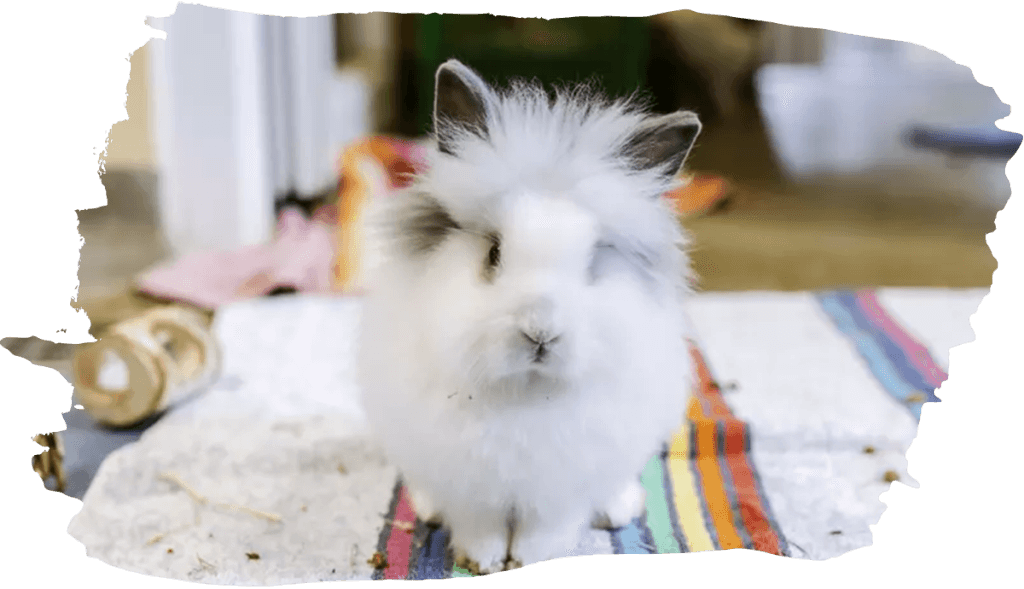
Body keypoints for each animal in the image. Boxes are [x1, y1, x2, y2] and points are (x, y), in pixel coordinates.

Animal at [357, 59, 702, 575]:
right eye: (494, 253)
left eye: (592, 262)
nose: (541, 331)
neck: (526, 392)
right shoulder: (466, 481)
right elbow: (478, 523)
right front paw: (482, 560)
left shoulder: (561, 488)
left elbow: (547, 527)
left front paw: (528, 560)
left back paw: (619, 508)